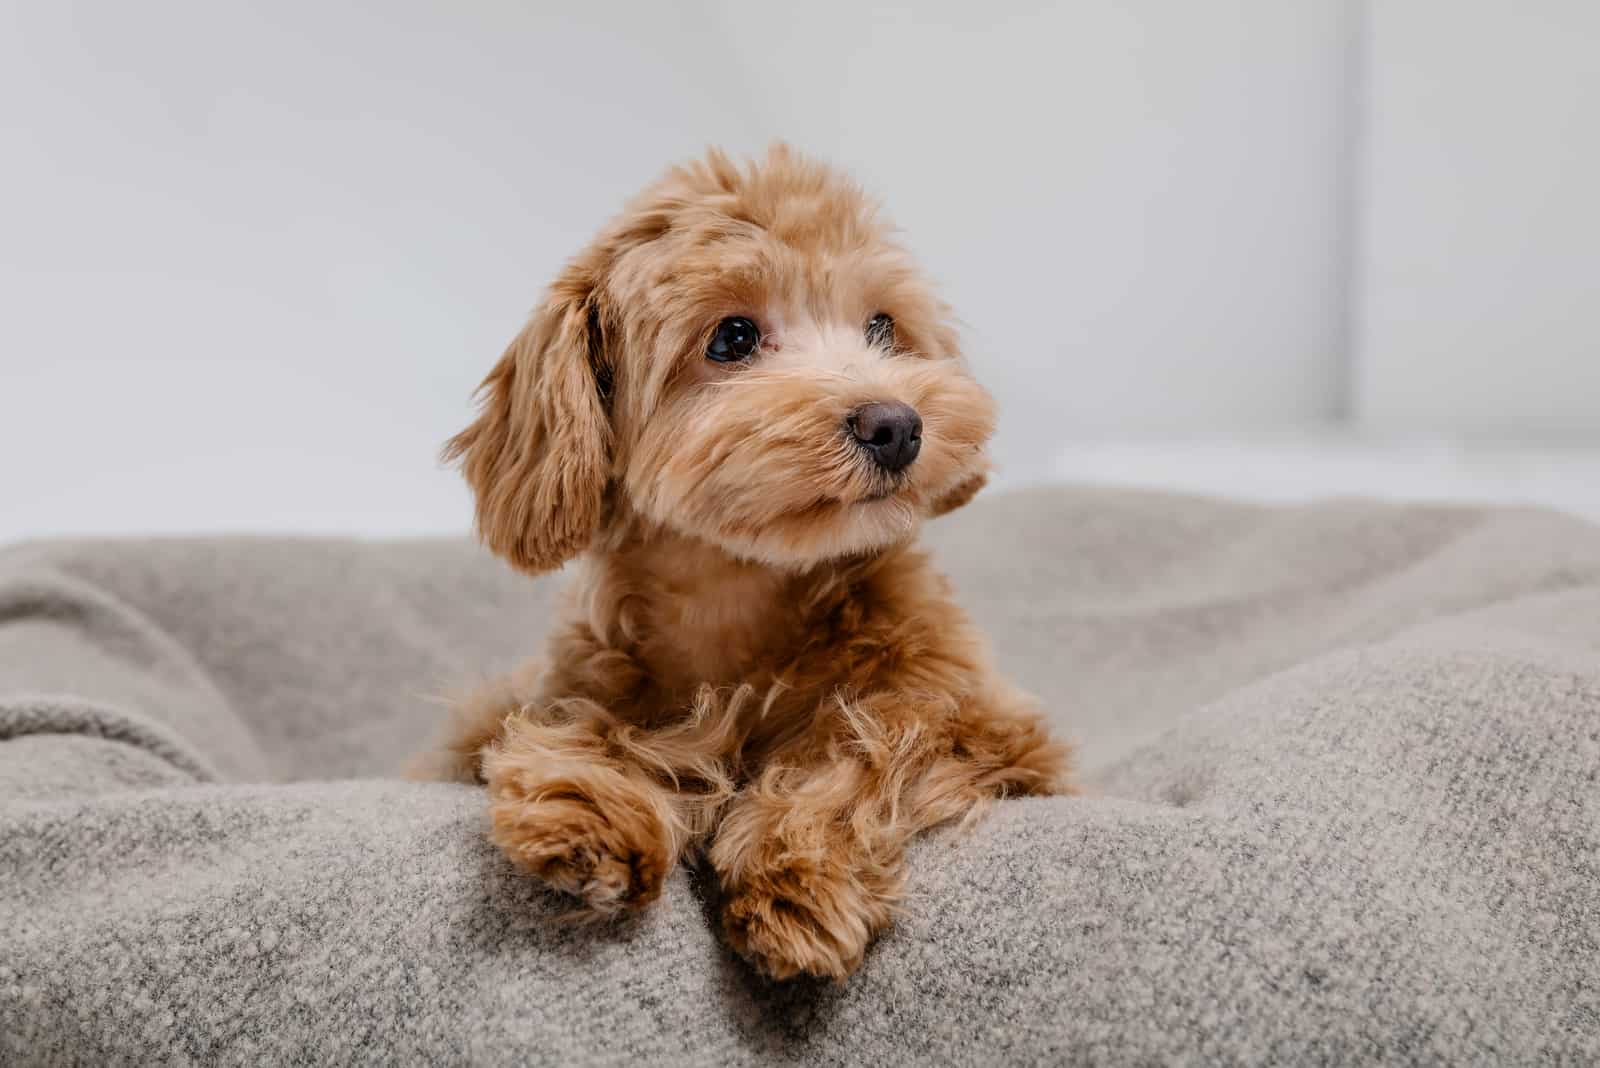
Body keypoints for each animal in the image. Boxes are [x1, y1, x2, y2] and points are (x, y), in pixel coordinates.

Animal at [412, 146, 1068, 978]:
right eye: (731, 338)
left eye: (882, 327)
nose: (896, 424)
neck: (739, 594)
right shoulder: (559, 688)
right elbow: (588, 727)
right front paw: (592, 805)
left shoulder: (996, 732)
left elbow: (874, 741)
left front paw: (797, 875)